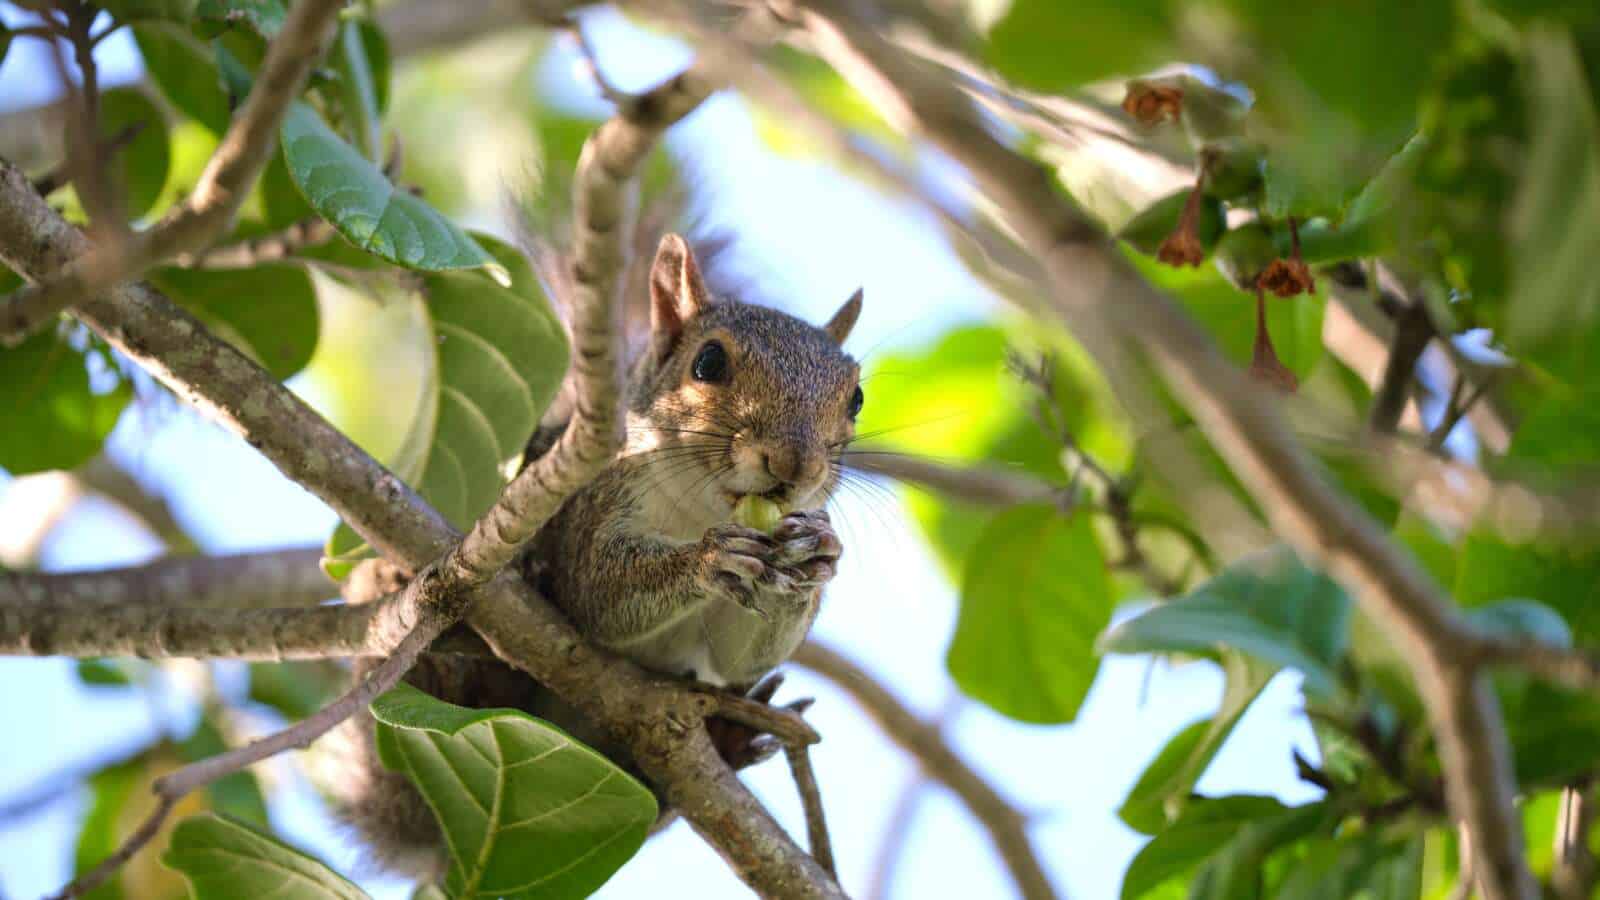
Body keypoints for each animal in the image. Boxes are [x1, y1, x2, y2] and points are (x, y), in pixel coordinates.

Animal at [320, 230, 870, 877]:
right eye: (709, 362)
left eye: (857, 397)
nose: (793, 466)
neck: (702, 508)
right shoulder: (594, 505)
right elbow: (597, 593)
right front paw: (707, 560)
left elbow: (740, 657)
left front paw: (818, 556)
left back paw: (730, 741)